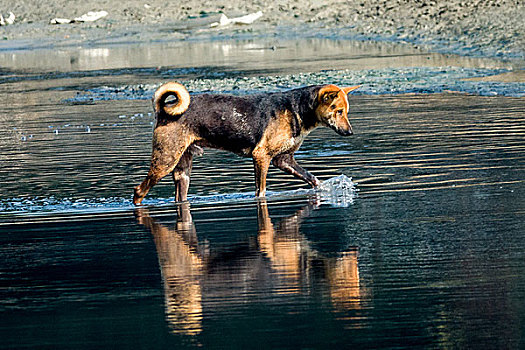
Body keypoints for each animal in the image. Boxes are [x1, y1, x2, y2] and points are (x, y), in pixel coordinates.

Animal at [133, 82, 358, 205]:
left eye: (346, 112)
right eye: (338, 111)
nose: (350, 132)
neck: (297, 110)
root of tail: (163, 110)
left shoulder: (284, 160)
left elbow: (311, 178)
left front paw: (326, 188)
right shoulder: (261, 156)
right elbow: (261, 190)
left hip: (183, 171)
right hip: (165, 161)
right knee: (138, 191)